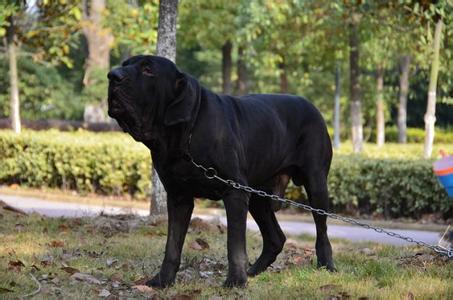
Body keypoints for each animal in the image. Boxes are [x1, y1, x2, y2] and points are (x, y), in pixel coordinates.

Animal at [105, 55, 332, 288]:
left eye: (148, 70)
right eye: (124, 64)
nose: (113, 75)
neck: (183, 137)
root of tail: (312, 106)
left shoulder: (234, 192)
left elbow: (234, 244)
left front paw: (235, 281)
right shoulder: (178, 197)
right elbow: (172, 245)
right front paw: (163, 280)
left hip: (316, 184)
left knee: (321, 230)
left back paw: (326, 266)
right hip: (258, 196)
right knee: (276, 238)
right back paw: (253, 271)